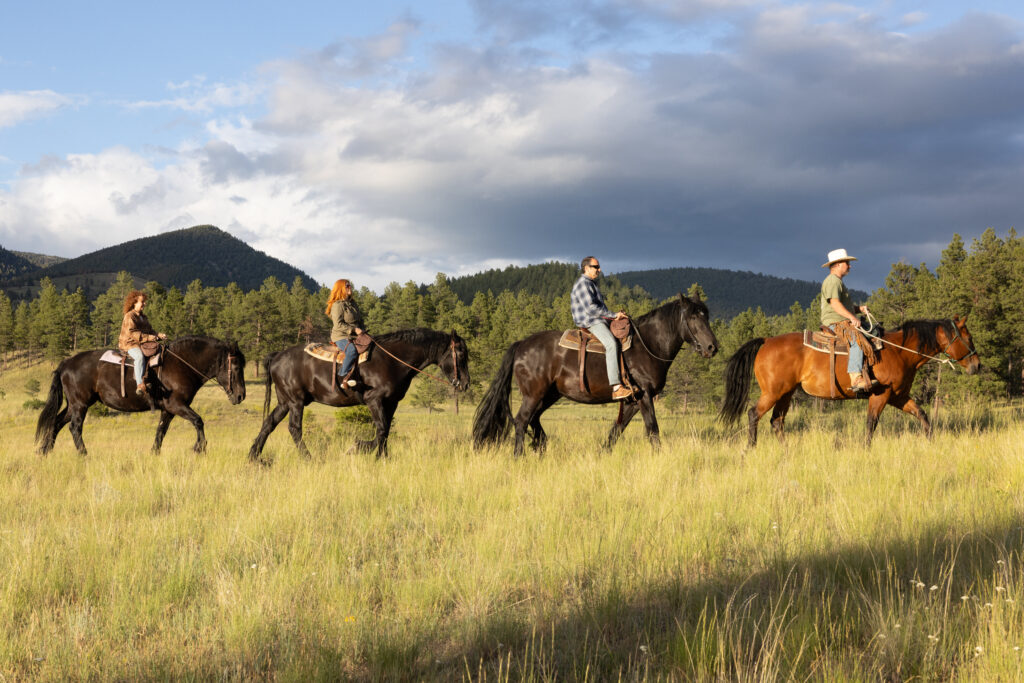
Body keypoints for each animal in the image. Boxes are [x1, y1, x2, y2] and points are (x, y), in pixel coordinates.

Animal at [35, 336, 246, 456]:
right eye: (236, 367)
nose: (241, 396)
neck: (181, 364)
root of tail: (66, 363)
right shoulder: (176, 405)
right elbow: (198, 421)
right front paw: (200, 448)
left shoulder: (168, 410)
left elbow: (161, 431)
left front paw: (154, 453)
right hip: (80, 405)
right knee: (74, 428)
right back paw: (83, 453)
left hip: (74, 405)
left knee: (56, 422)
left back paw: (45, 451)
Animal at [248, 328, 470, 462]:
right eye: (460, 353)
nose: (466, 383)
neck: (392, 361)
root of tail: (277, 355)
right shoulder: (374, 400)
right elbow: (381, 429)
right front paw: (357, 448)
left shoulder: (391, 403)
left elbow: (385, 430)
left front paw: (383, 457)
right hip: (296, 402)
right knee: (294, 429)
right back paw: (308, 458)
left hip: (285, 402)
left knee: (269, 423)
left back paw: (254, 456)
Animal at [472, 294, 719, 457]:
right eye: (693, 318)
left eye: (706, 315)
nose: (712, 347)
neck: (647, 344)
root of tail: (521, 344)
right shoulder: (645, 396)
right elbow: (653, 429)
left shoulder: (631, 401)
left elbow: (616, 431)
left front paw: (602, 455)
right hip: (533, 395)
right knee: (522, 421)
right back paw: (519, 456)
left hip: (549, 395)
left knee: (534, 419)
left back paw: (541, 446)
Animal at [719, 316, 980, 447]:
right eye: (968, 337)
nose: (977, 365)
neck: (899, 351)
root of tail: (766, 341)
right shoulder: (880, 395)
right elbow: (871, 424)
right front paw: (866, 450)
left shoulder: (898, 396)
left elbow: (923, 415)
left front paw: (931, 441)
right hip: (773, 392)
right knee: (754, 414)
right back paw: (750, 449)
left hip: (786, 393)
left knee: (776, 421)